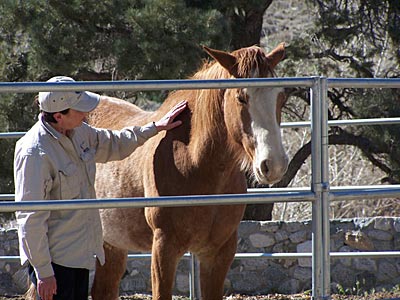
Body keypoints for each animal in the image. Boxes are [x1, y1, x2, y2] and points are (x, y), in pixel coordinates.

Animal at [89, 42, 290, 300]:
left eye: (281, 97)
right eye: (241, 97)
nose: (273, 164)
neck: (197, 165)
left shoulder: (218, 253)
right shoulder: (164, 248)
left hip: (111, 245)